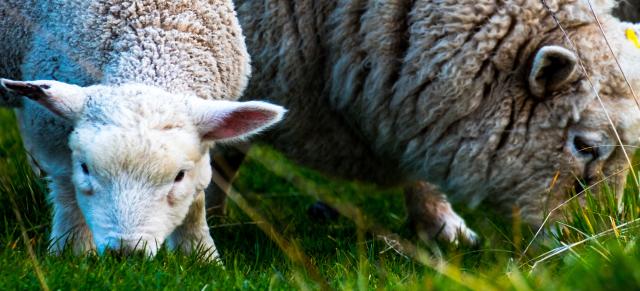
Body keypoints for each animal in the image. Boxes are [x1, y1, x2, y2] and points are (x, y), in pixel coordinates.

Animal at [0, 0, 284, 260]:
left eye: (180, 176)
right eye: (85, 168)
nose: (125, 253)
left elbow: (197, 196)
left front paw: (199, 255)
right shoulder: (49, 129)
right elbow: (67, 189)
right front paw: (72, 250)